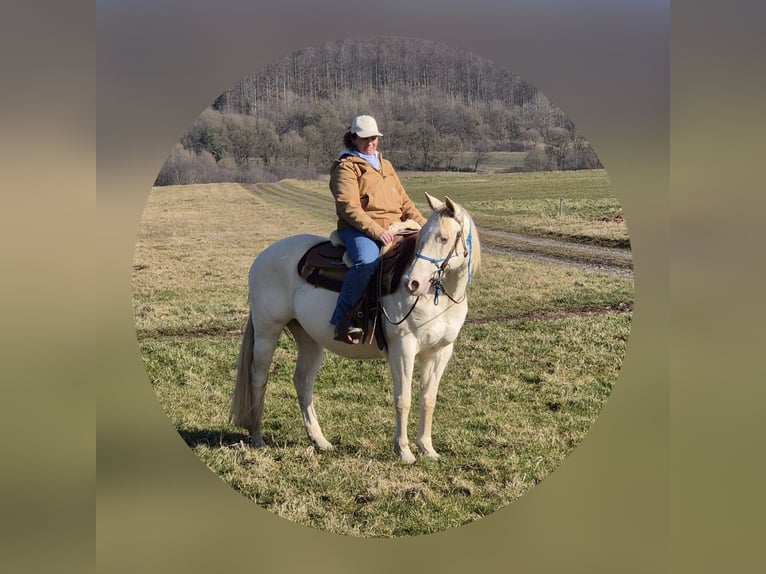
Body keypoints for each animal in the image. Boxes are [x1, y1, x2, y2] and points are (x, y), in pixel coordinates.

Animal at [230, 194, 480, 464]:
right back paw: (257, 436)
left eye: (443, 238)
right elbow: (403, 399)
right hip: (267, 333)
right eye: (422, 238)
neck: (439, 299)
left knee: (303, 382)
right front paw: (403, 450)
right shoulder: (403, 348)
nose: (412, 283)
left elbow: (429, 398)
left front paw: (427, 448)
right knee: (258, 378)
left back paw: (319, 440)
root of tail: (263, 257)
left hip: (309, 340)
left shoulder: (440, 352)